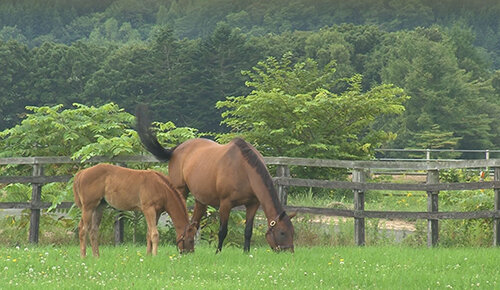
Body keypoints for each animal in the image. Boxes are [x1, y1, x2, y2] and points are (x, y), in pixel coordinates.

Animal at [135, 105, 294, 253]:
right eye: (282, 232)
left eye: (292, 232)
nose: (289, 252)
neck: (244, 170)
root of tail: (176, 150)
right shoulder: (225, 204)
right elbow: (223, 231)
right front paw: (218, 252)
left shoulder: (253, 205)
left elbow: (248, 231)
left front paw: (246, 252)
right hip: (180, 190)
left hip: (201, 200)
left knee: (194, 223)